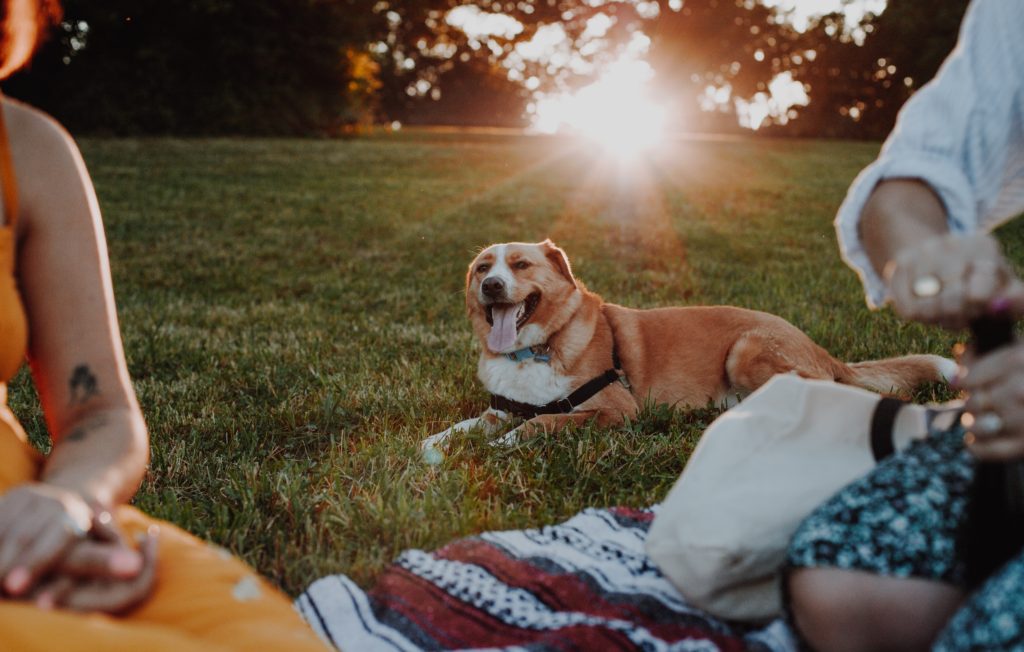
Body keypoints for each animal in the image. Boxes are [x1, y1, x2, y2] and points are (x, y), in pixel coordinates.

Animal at [419, 241, 954, 450]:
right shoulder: (501, 407)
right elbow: (467, 425)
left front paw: (507, 444)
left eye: (521, 266)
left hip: (747, 350)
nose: (491, 287)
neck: (535, 349)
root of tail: (820, 348)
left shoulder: (616, 410)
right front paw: (436, 444)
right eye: (482, 268)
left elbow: (547, 421)